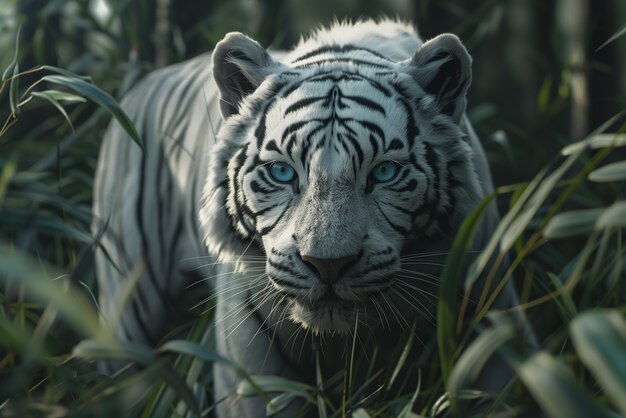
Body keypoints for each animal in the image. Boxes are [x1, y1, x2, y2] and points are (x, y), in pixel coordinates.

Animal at [94, 18, 520, 414]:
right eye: (282, 172)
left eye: (385, 172)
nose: (327, 265)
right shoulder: (251, 366)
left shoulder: (488, 315)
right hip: (130, 301)